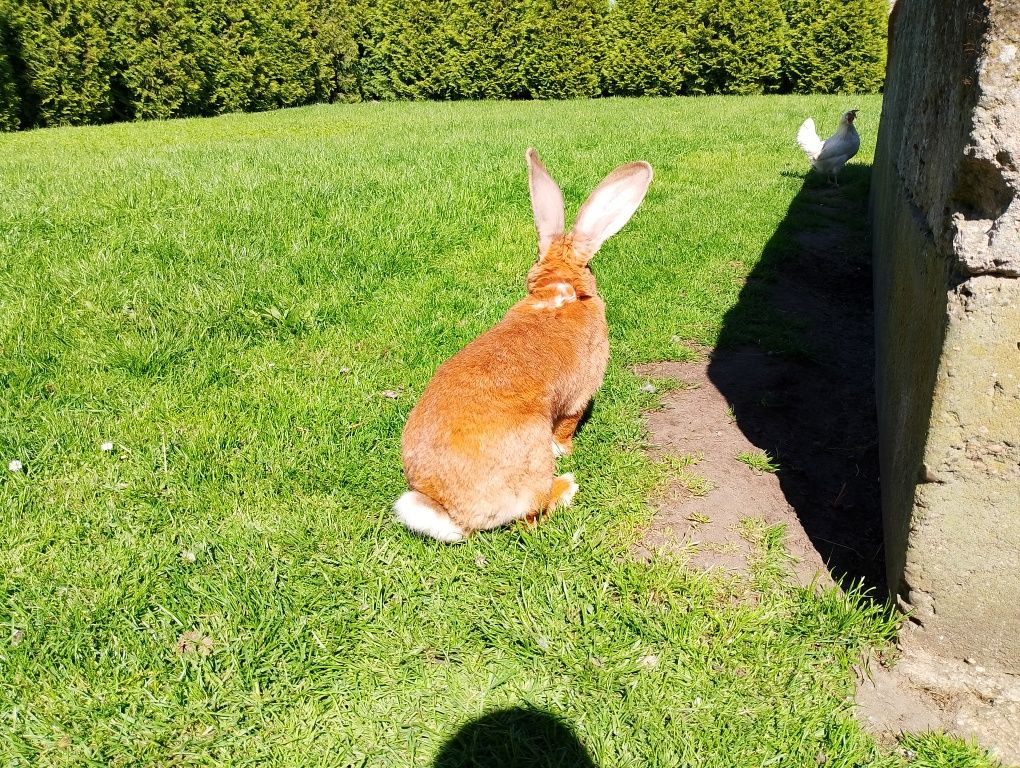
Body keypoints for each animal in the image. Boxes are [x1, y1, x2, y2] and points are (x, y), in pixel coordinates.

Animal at [393, 147, 648, 538]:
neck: (560, 288)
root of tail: (450, 509)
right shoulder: (579, 396)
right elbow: (568, 426)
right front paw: (567, 451)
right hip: (532, 455)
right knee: (531, 515)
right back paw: (568, 485)